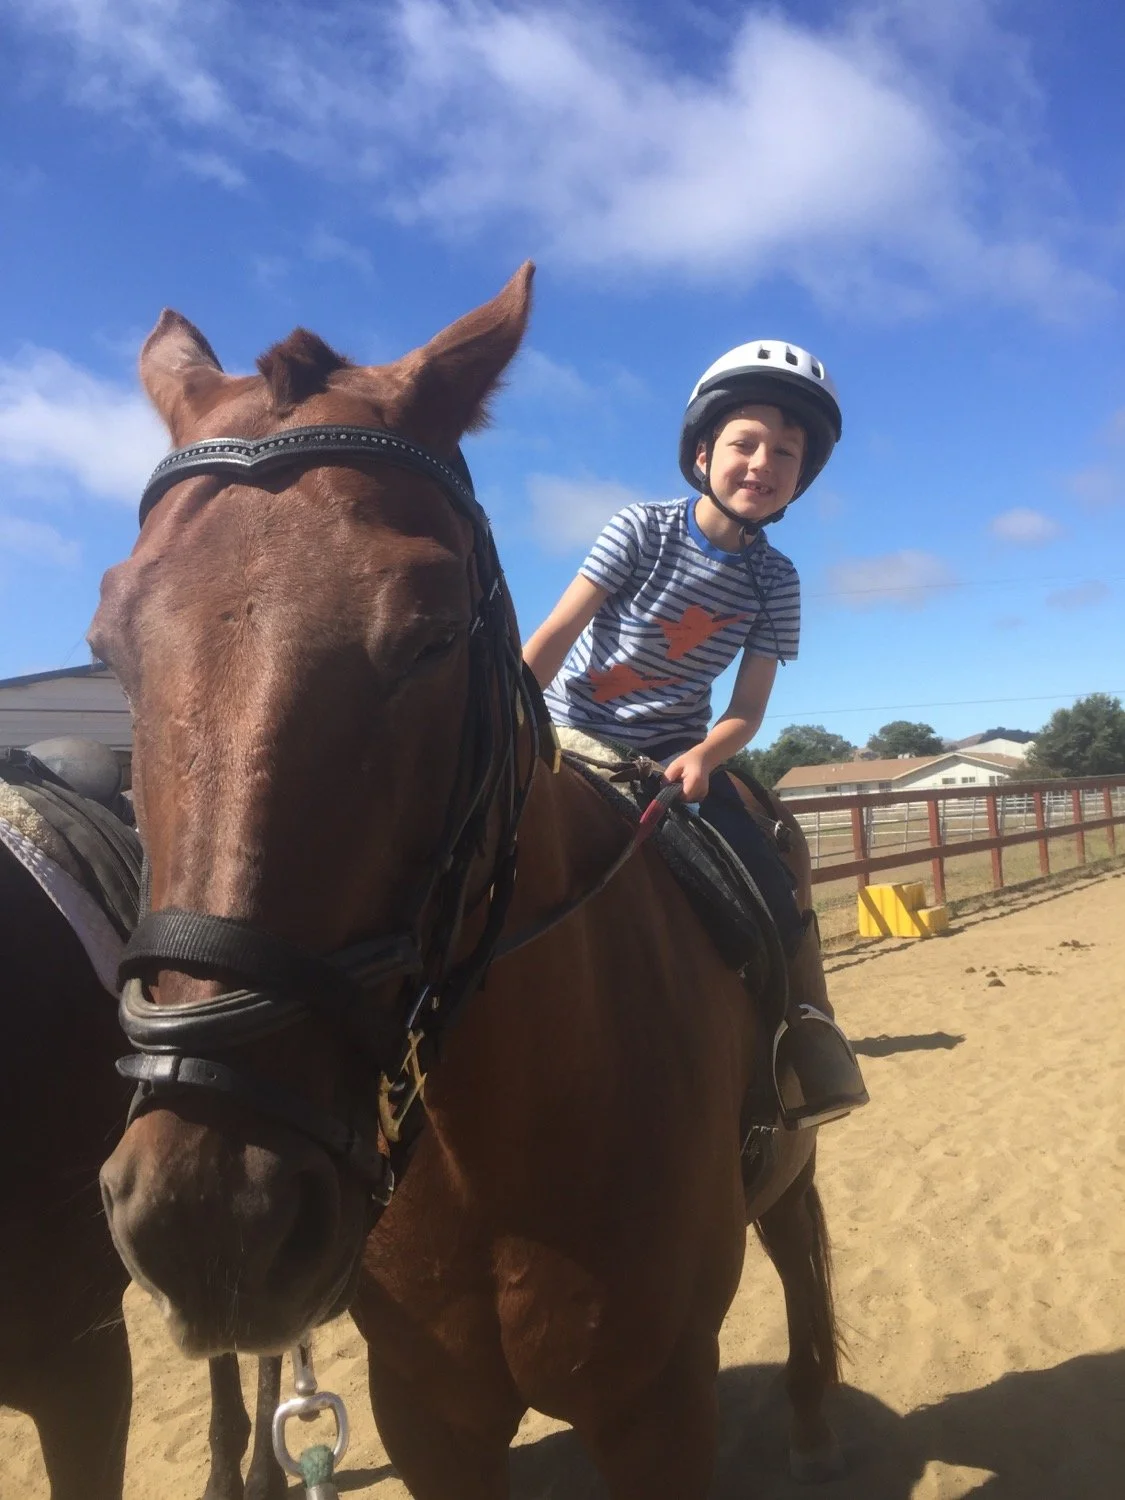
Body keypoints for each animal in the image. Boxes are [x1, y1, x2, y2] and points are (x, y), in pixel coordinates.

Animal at [93, 264, 848, 1497]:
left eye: (435, 632)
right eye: (108, 642)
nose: (211, 1214)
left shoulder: (659, 1410)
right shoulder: (430, 1417)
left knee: (798, 1240)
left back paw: (815, 1423)